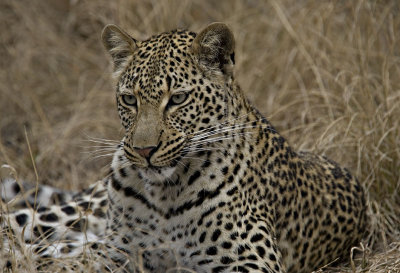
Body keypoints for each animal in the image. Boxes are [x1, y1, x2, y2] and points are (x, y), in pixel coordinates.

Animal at [1, 23, 368, 272]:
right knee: (16, 227)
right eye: (129, 100)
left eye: (177, 99)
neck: (166, 195)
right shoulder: (114, 253)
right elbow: (75, 264)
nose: (144, 151)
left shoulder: (250, 260)